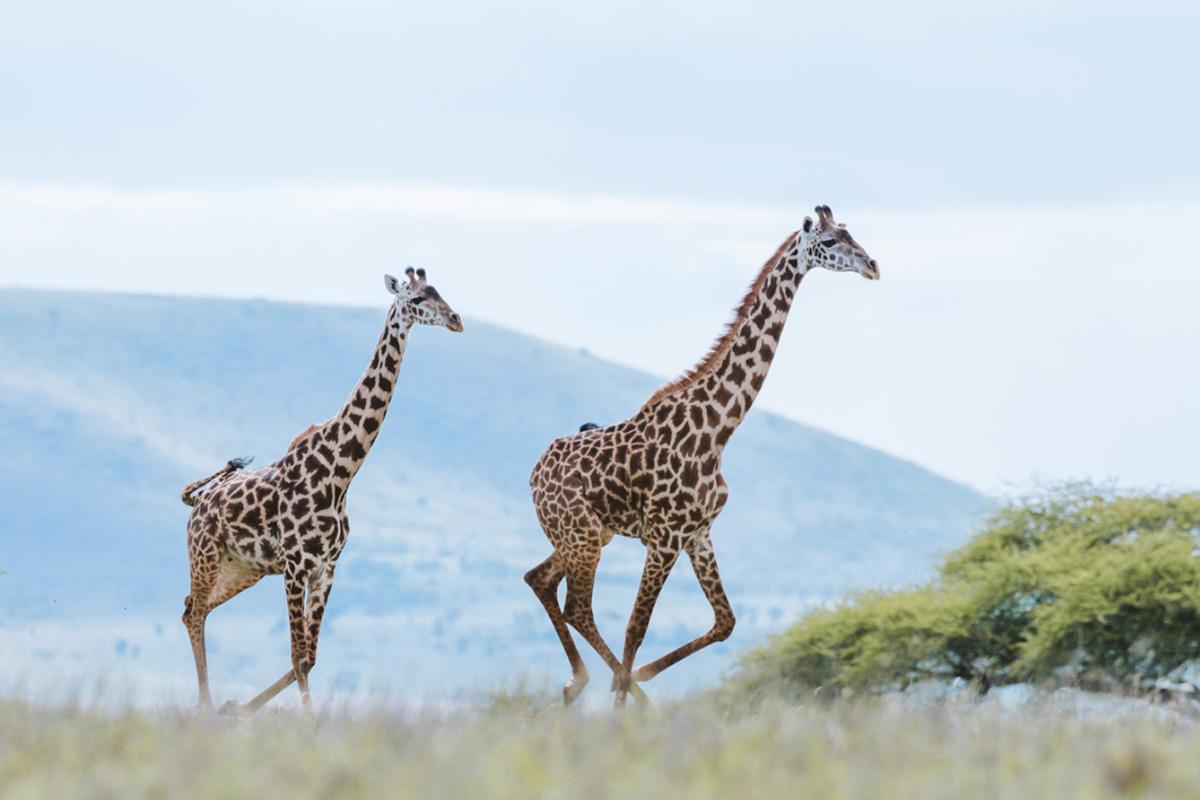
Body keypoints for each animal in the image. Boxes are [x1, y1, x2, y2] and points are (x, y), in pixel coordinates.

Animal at [180, 267, 463, 715]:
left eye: (439, 291)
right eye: (417, 299)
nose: (456, 319)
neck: (340, 472)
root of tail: (198, 501)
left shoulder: (326, 567)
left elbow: (309, 657)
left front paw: (244, 708)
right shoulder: (296, 566)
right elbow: (298, 655)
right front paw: (307, 723)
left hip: (242, 569)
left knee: (195, 608)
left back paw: (223, 706)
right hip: (205, 555)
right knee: (194, 614)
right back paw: (206, 709)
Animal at [526, 205, 879, 708]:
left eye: (851, 233)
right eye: (829, 242)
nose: (873, 265)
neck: (718, 430)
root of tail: (535, 472)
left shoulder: (698, 535)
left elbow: (725, 621)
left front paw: (641, 679)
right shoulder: (664, 538)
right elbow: (636, 629)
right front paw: (625, 707)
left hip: (588, 535)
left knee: (540, 579)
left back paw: (580, 684)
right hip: (583, 536)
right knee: (578, 606)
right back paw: (603, 688)